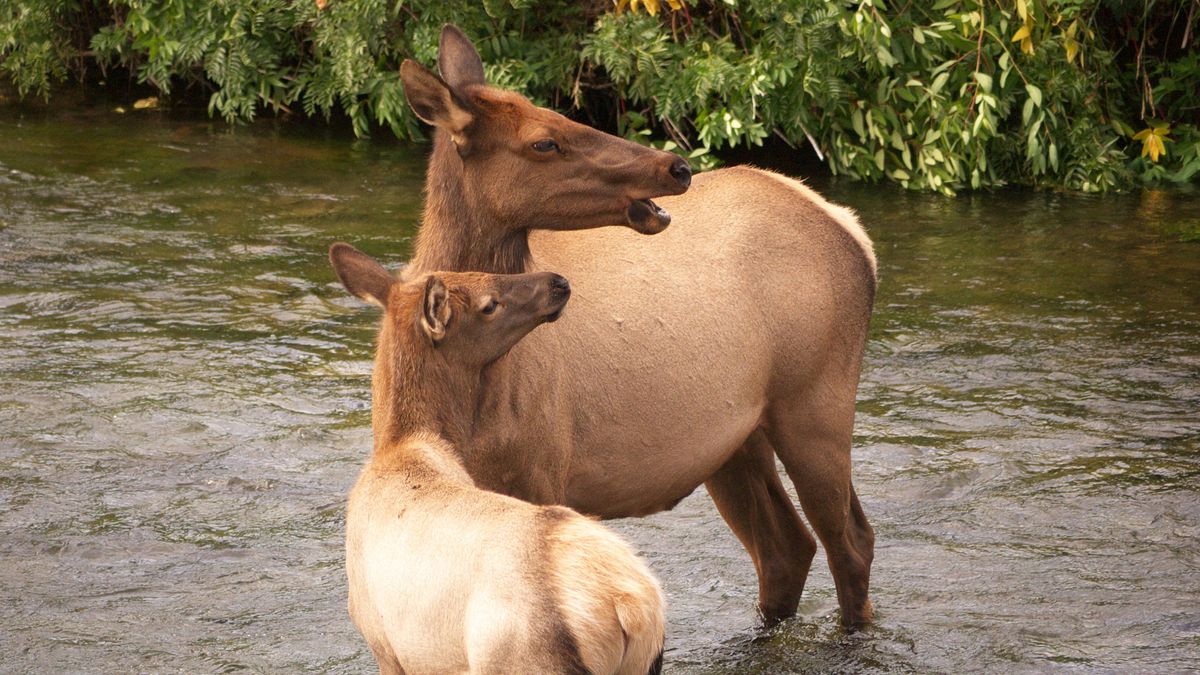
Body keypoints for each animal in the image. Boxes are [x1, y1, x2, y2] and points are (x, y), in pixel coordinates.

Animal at [328, 242, 667, 672]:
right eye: (489, 304)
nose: (558, 283)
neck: (399, 446)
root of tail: (632, 609)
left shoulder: (384, 646)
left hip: (520, 658)